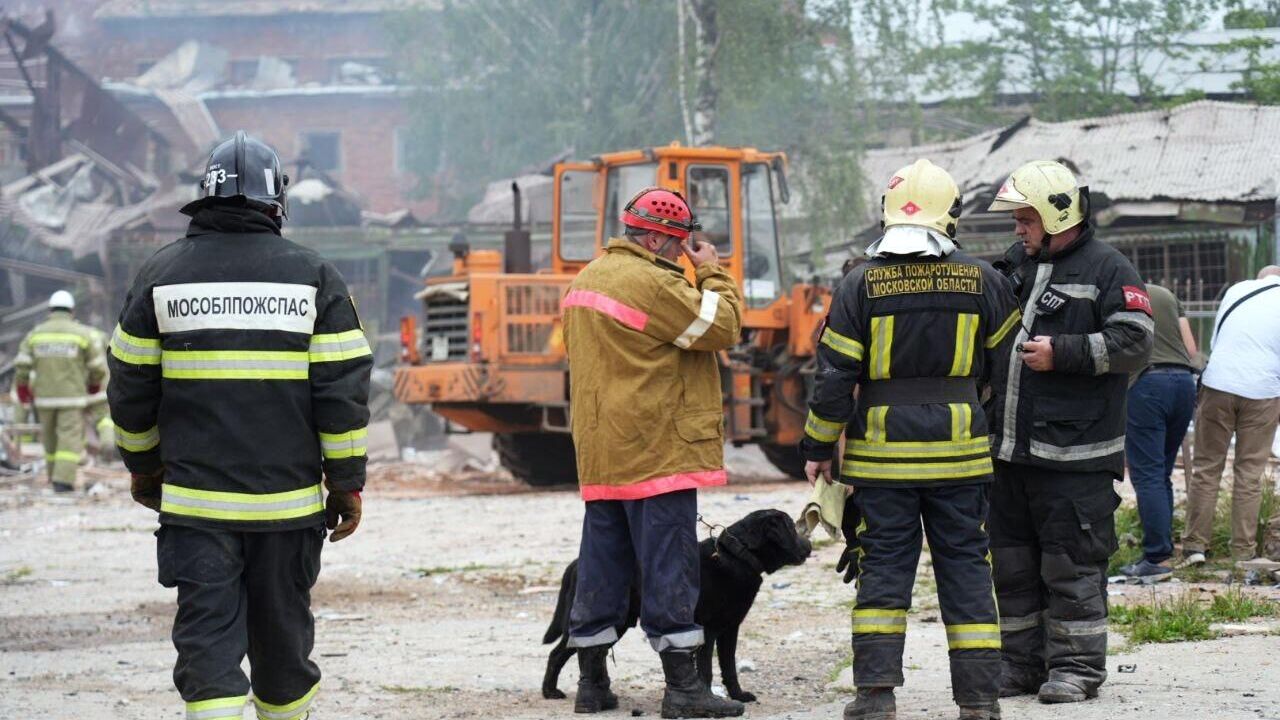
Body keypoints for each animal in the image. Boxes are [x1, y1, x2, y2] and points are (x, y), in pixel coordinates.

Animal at [540, 507, 808, 702]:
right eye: (791, 528)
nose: (809, 546)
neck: (737, 555)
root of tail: (575, 564)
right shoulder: (709, 630)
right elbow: (707, 669)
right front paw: (709, 698)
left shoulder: (730, 628)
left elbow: (729, 667)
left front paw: (738, 695)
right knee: (558, 653)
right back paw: (550, 692)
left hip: (618, 624)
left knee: (593, 651)